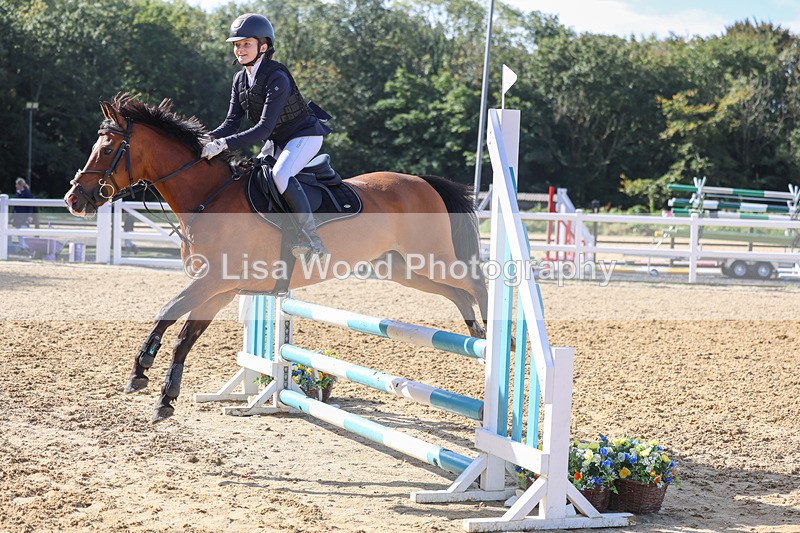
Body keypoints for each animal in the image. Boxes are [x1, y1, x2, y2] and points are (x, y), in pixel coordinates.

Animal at [64, 94, 488, 423]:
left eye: (106, 149)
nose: (73, 199)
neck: (209, 198)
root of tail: (423, 182)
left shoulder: (214, 281)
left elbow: (168, 312)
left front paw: (142, 370)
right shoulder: (220, 289)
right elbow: (185, 334)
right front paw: (162, 396)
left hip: (428, 258)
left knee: (475, 281)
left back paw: (497, 336)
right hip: (402, 267)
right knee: (457, 293)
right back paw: (477, 336)